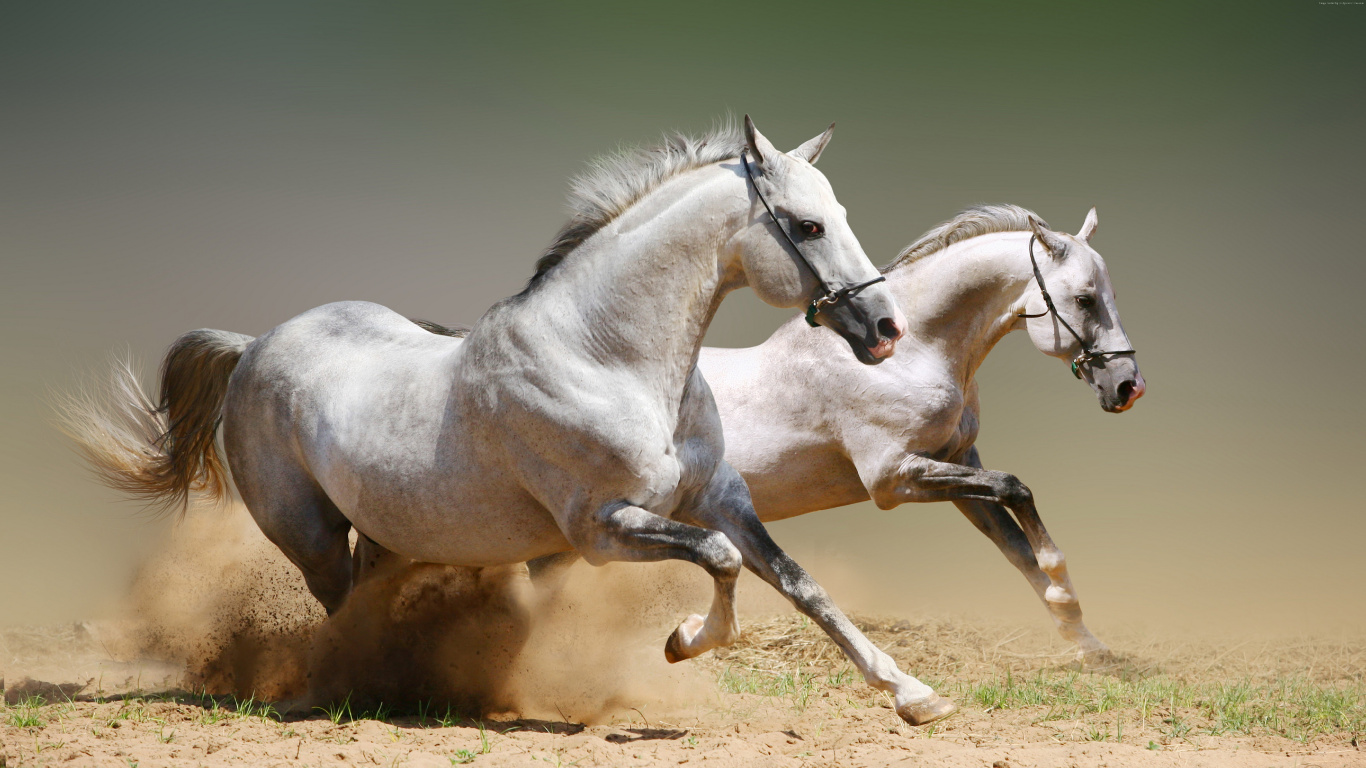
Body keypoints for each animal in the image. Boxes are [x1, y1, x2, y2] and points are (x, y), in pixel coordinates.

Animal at [63, 118, 963, 725]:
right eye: (808, 225)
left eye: (838, 212)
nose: (885, 328)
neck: (608, 358)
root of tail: (253, 346)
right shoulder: (601, 529)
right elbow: (720, 563)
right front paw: (682, 640)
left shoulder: (720, 499)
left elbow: (800, 584)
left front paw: (915, 695)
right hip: (308, 533)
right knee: (339, 609)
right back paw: (354, 688)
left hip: (388, 534)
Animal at [530, 204, 1144, 672]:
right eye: (1085, 299)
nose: (1128, 385)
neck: (912, 353)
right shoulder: (895, 477)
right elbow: (1017, 490)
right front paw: (1065, 589)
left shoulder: (956, 465)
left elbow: (1015, 545)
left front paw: (1088, 644)